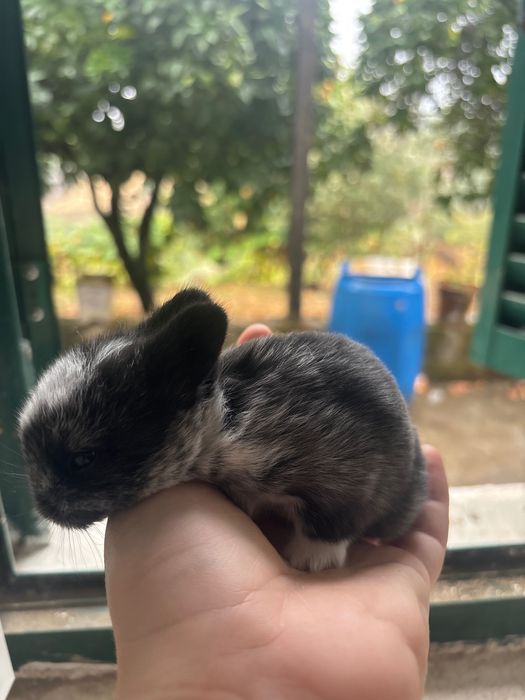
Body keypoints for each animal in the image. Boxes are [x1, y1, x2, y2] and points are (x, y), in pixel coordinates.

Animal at [18, 288, 427, 572]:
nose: (43, 509)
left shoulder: (347, 480)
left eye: (83, 459)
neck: (222, 425)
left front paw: (309, 559)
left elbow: (332, 523)